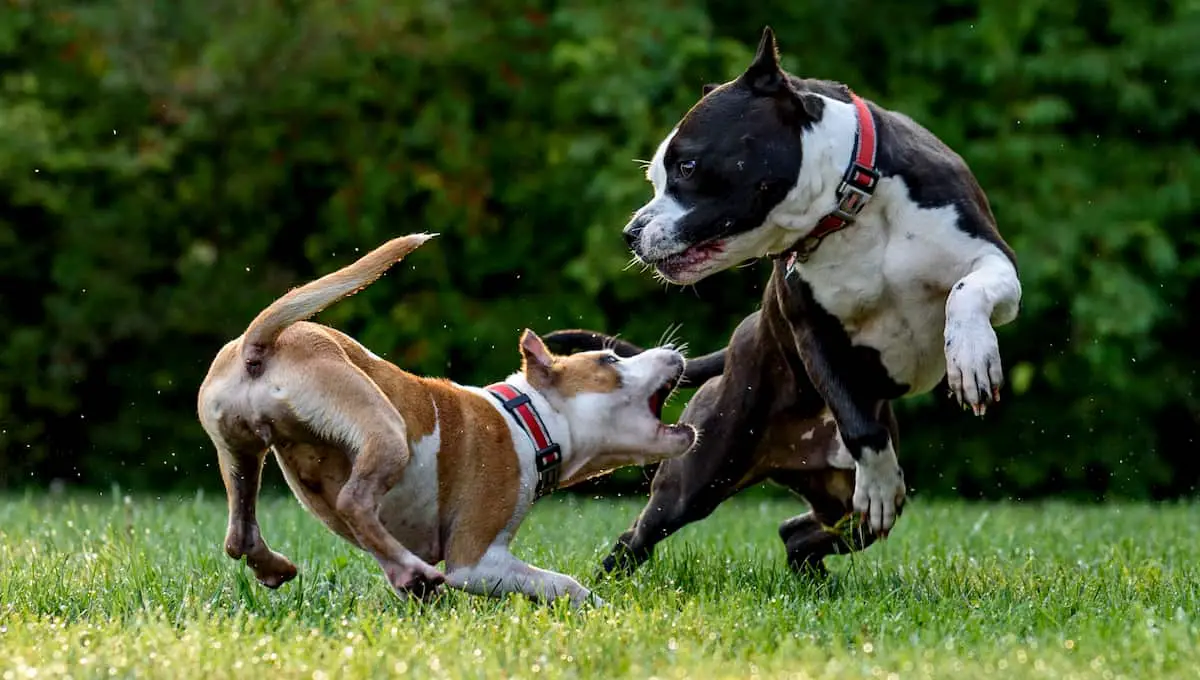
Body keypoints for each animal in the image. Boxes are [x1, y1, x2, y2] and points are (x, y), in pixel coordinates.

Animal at [196, 233, 696, 606]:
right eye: (610, 360)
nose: (674, 352)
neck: (528, 419)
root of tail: (259, 345)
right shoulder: (476, 561)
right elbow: (564, 584)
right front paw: (599, 610)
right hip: (384, 428)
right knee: (354, 501)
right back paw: (412, 570)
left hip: (240, 452)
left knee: (240, 534)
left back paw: (289, 567)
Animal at [544, 29, 1022, 578]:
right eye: (656, 179)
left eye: (687, 166)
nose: (631, 232)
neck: (850, 206)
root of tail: (738, 341)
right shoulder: (812, 330)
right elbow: (860, 426)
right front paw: (880, 481)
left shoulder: (994, 260)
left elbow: (967, 292)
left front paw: (972, 358)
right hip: (700, 474)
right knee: (641, 534)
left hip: (837, 502)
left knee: (801, 532)